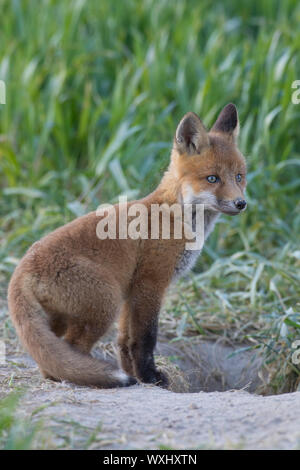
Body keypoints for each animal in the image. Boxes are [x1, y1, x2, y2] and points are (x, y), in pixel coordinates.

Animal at [7, 104, 246, 388]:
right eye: (212, 178)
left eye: (239, 177)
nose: (241, 203)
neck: (176, 214)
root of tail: (22, 268)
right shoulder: (150, 283)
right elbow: (144, 339)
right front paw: (150, 377)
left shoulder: (130, 291)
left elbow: (124, 341)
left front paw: (135, 374)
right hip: (105, 303)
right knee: (71, 349)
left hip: (65, 316)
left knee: (49, 357)